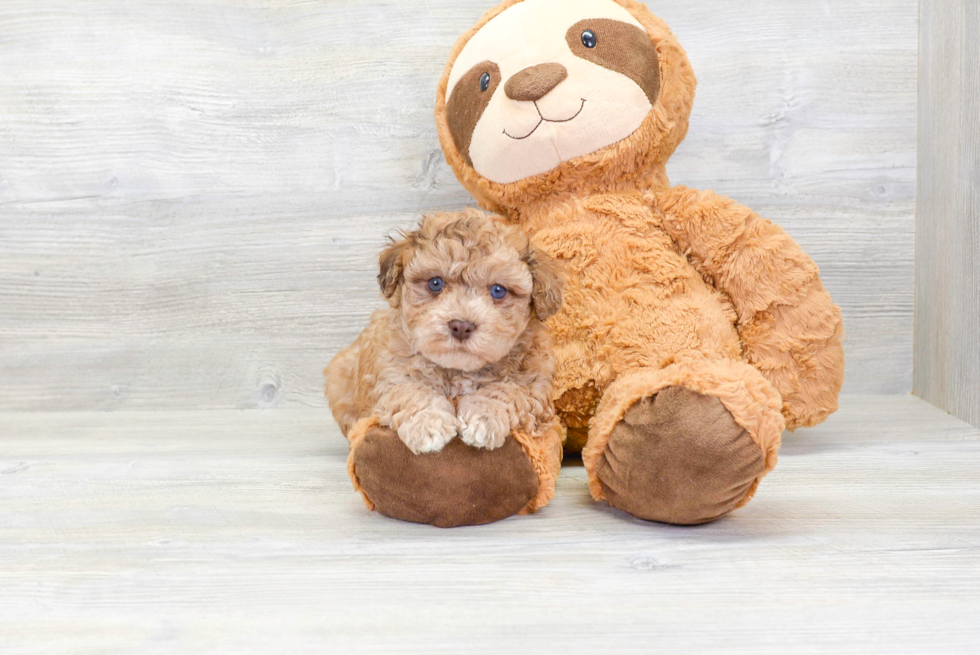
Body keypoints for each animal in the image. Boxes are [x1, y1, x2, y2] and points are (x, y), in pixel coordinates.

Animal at [326, 210, 564, 528]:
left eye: (498, 290)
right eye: (435, 283)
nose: (461, 325)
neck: (458, 370)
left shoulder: (535, 386)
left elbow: (506, 391)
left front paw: (483, 418)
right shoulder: (388, 373)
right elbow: (411, 391)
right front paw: (430, 425)